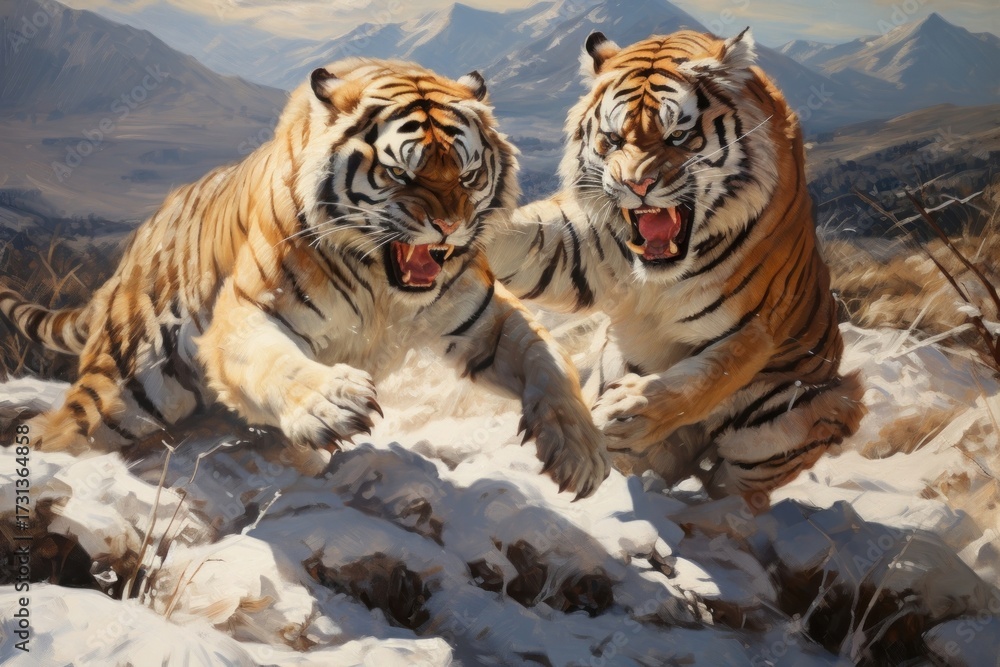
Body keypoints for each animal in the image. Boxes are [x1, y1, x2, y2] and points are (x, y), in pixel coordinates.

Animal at [1, 58, 608, 499]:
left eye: (467, 174)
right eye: (400, 173)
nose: (450, 226)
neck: (385, 290)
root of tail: (133, 250)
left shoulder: (486, 317)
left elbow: (549, 361)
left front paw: (581, 452)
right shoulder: (246, 313)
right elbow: (277, 362)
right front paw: (330, 402)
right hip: (126, 395)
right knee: (59, 431)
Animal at [487, 30, 865, 497]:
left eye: (678, 136)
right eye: (613, 139)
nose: (635, 185)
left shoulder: (754, 324)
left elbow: (702, 378)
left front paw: (626, 412)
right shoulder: (573, 247)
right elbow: (517, 235)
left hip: (797, 415)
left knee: (739, 495)